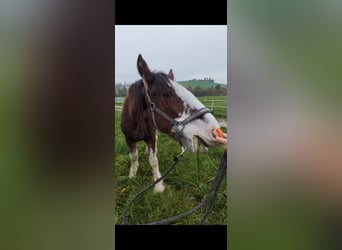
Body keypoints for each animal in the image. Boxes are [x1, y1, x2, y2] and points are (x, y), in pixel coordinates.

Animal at [120, 54, 222, 191]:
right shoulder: (129, 139)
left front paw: (158, 185)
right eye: (166, 94)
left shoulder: (151, 137)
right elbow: (133, 156)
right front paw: (132, 173)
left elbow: (153, 160)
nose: (214, 130)